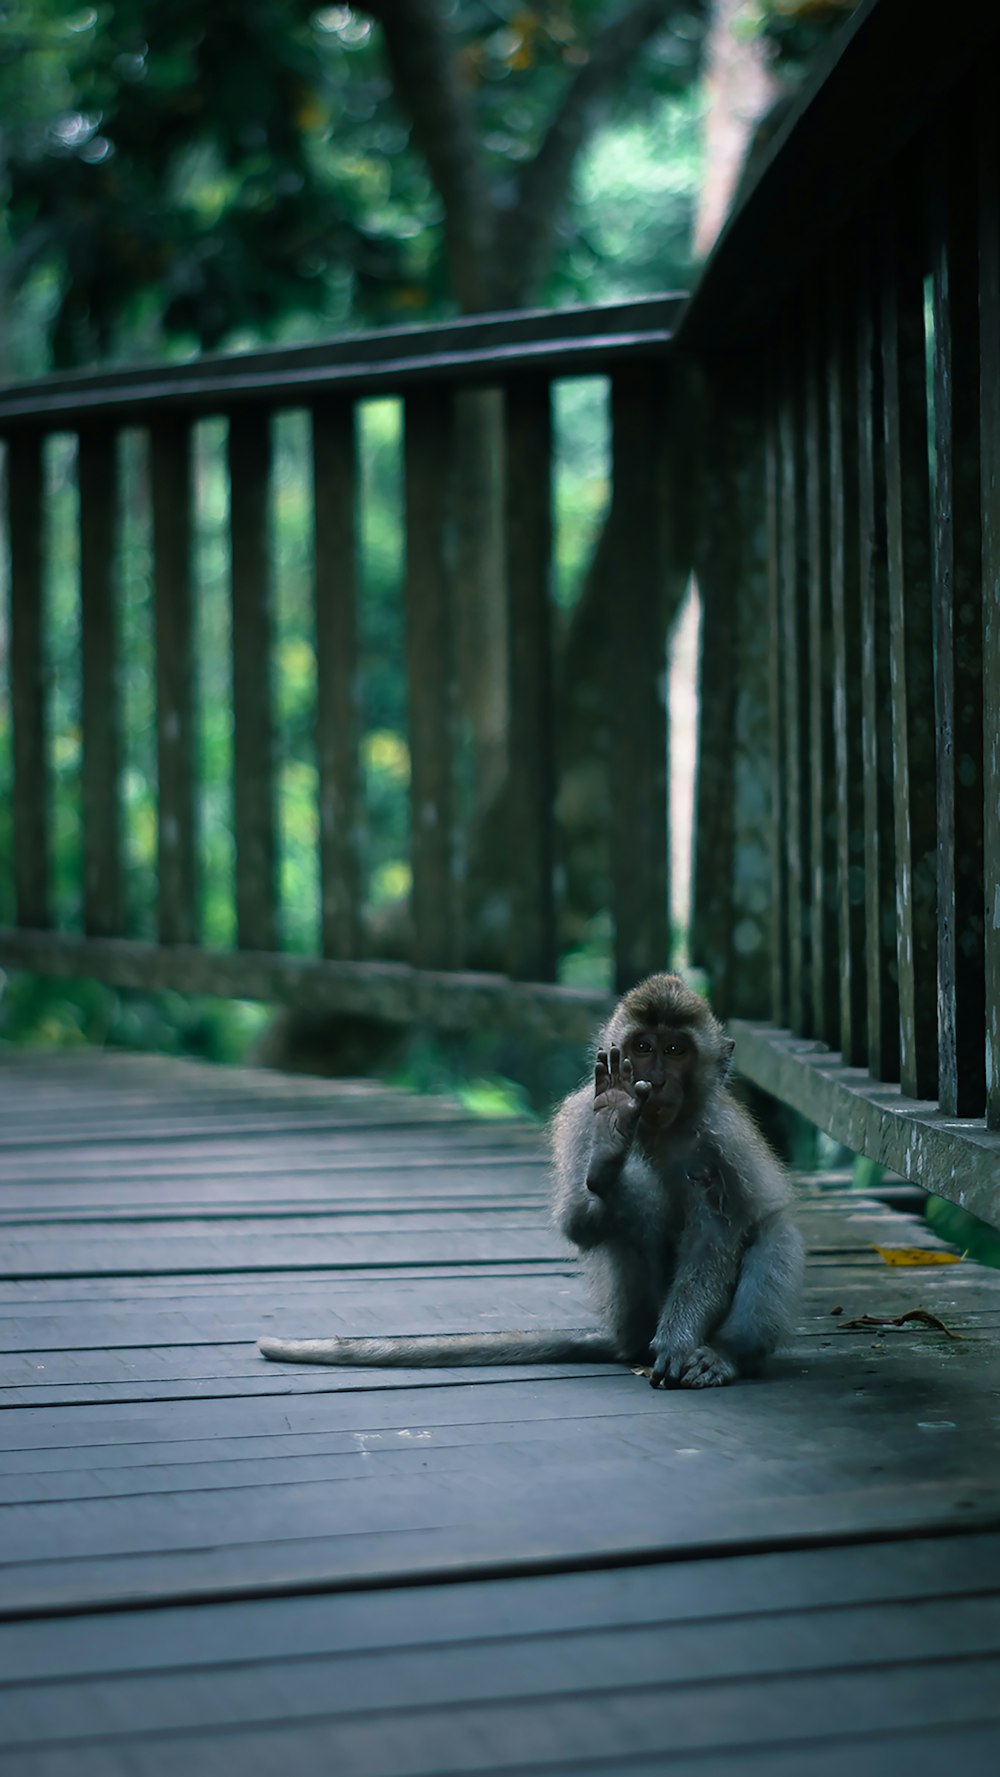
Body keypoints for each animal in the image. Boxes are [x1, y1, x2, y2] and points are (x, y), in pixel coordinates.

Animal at [261, 973, 806, 1386]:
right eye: (643, 1046)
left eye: (675, 1049)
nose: (655, 1080)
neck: (659, 1130)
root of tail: (623, 1337)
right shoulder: (580, 1115)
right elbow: (578, 1225)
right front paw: (609, 1145)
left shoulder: (722, 1137)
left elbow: (718, 1236)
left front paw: (680, 1341)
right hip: (629, 1310)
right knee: (642, 1208)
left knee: (776, 1232)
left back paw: (724, 1355)